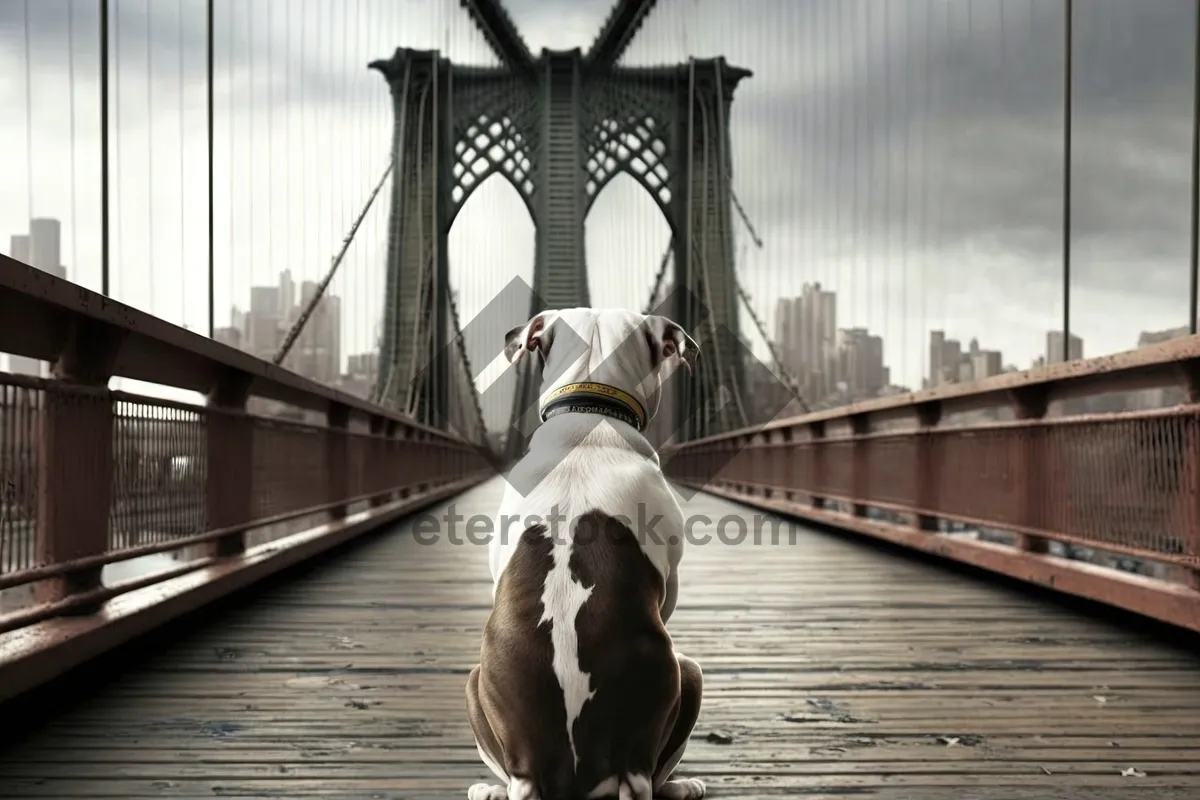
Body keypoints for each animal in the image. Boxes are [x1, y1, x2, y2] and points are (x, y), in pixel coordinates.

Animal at [463, 309, 705, 800]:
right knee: (658, 775)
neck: (590, 411)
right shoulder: (669, 588)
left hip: (474, 682)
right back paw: (683, 785)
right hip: (687, 671)